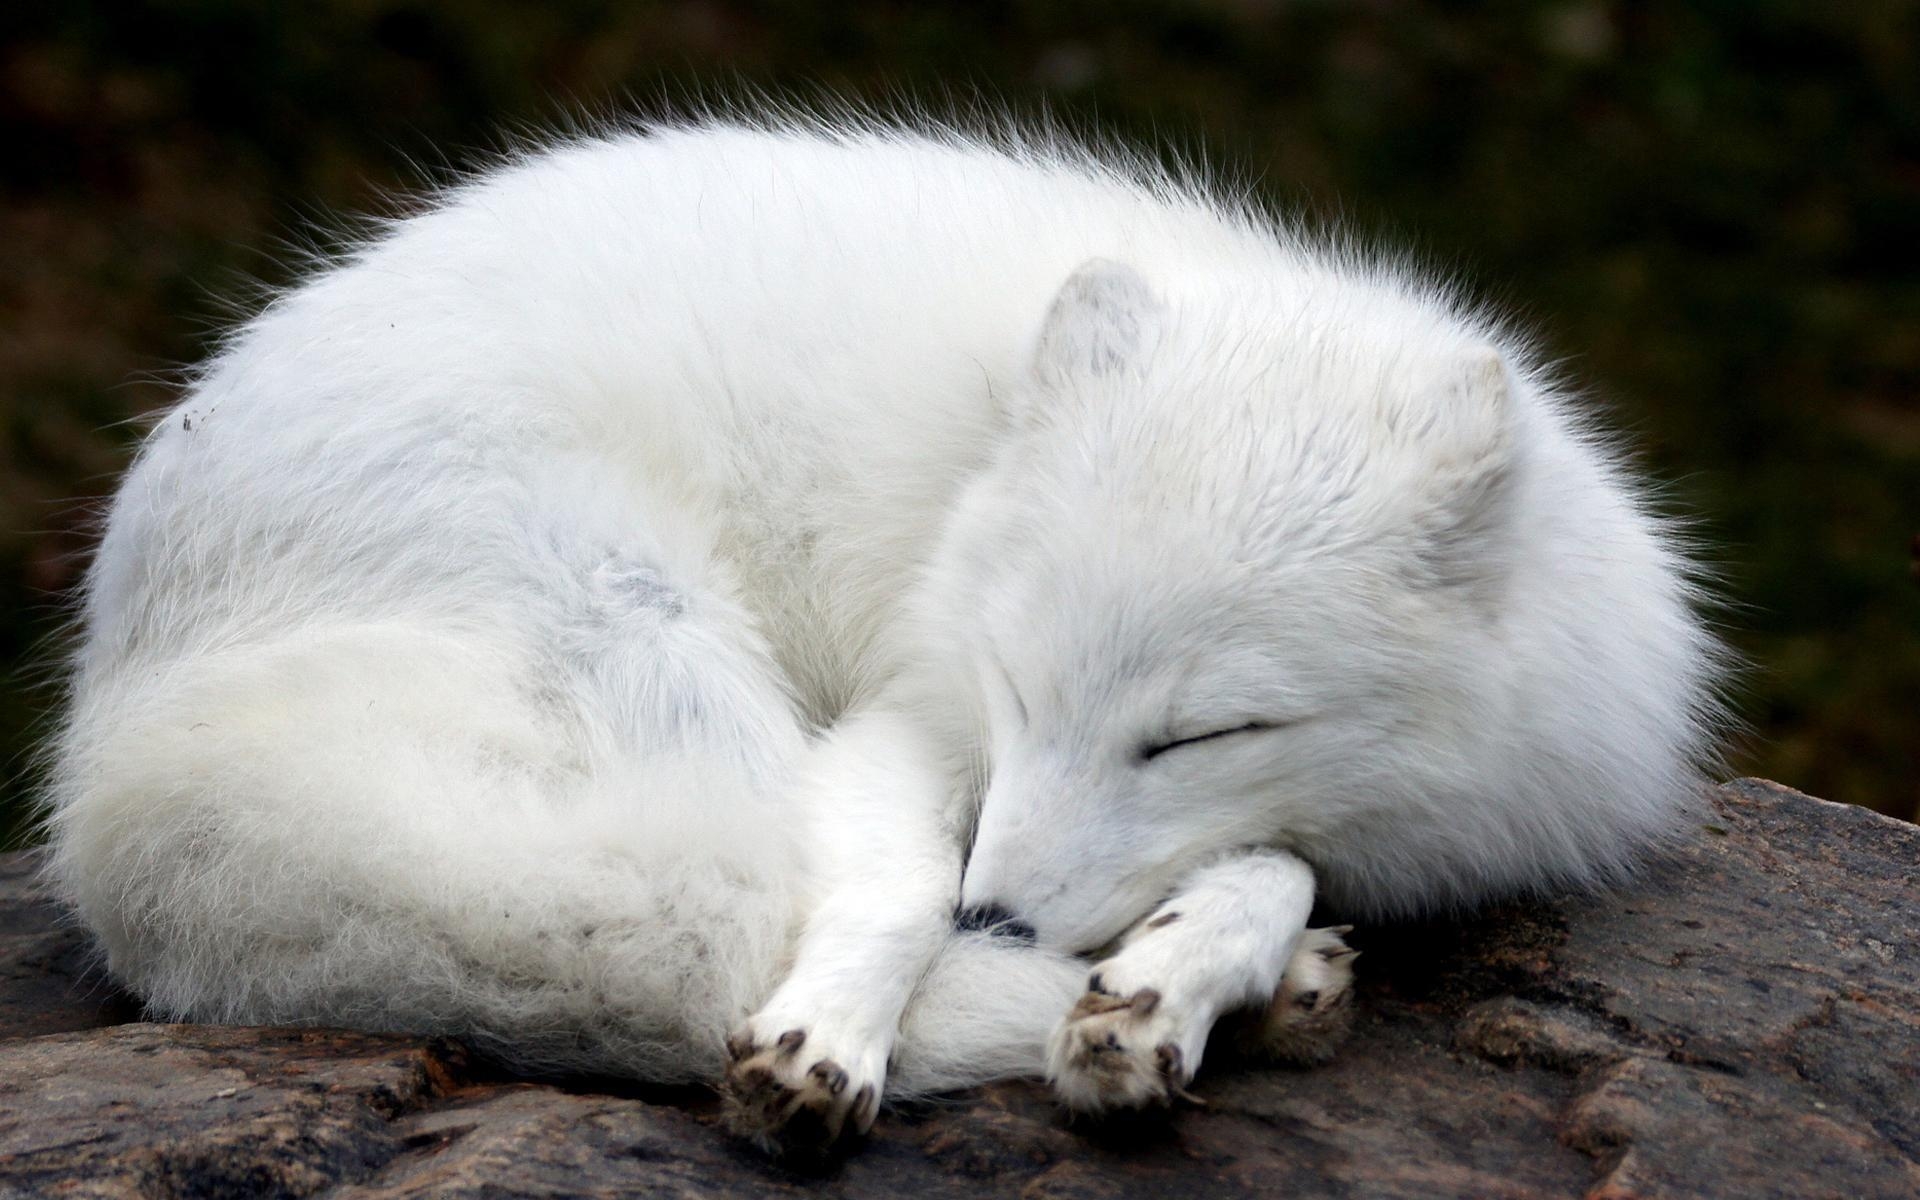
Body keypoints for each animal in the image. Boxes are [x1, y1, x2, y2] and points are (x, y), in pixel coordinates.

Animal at [41, 114, 1728, 1152]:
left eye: (1203, 734)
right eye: (1019, 688)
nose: (1008, 918)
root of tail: (116, 713)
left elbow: (1272, 856)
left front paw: (1188, 966)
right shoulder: (907, 713)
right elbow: (890, 889)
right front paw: (848, 1031)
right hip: (656, 651)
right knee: (703, 945)